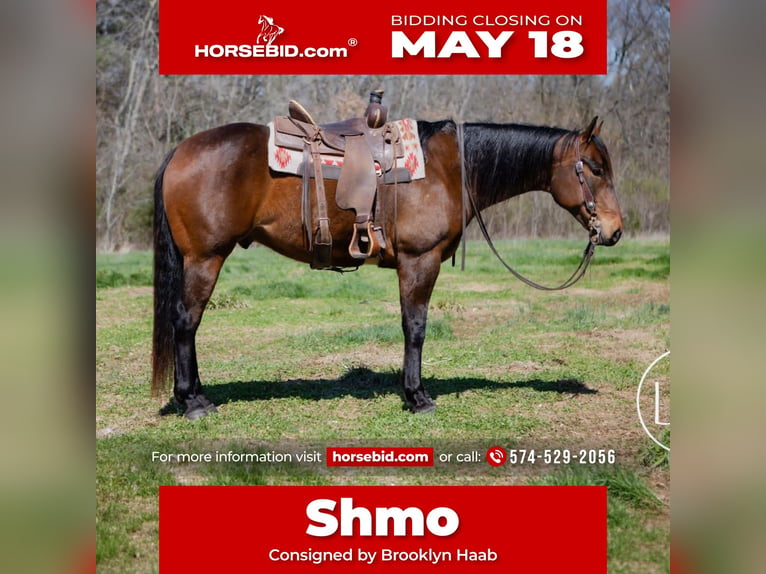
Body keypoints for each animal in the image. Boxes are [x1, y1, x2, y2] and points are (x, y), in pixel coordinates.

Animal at [152, 115, 623, 419]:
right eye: (595, 169)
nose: (614, 231)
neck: (448, 169)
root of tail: (179, 150)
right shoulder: (419, 261)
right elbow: (415, 327)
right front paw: (417, 397)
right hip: (205, 258)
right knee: (186, 322)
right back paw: (193, 402)